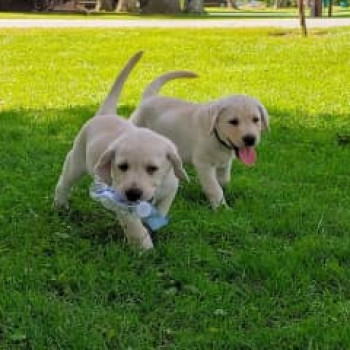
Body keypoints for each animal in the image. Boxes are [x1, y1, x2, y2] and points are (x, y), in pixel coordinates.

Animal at [53, 51, 187, 249]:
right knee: (64, 183)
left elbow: (161, 209)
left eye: (152, 169)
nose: (133, 194)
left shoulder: (170, 187)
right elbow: (134, 227)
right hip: (76, 160)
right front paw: (145, 248)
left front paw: (151, 226)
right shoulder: (121, 200)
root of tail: (106, 113)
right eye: (122, 166)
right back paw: (60, 206)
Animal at [130, 71, 270, 208]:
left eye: (256, 119)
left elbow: (224, 181)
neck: (216, 137)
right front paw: (222, 208)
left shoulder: (225, 163)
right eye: (233, 121)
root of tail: (149, 98)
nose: (250, 139)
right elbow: (214, 188)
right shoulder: (204, 165)